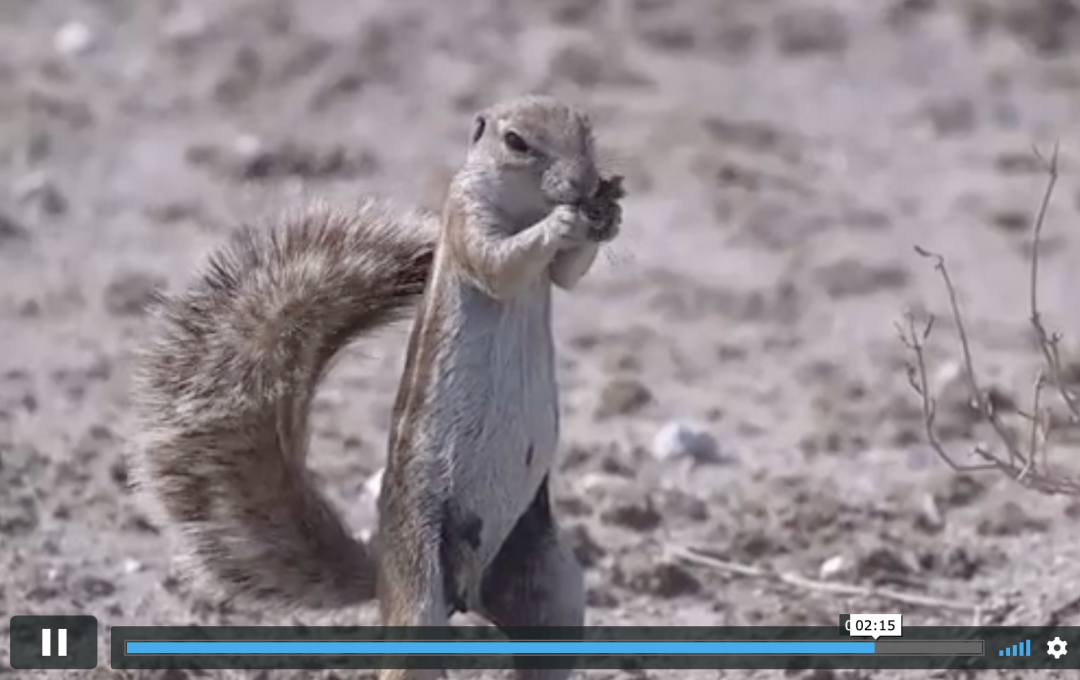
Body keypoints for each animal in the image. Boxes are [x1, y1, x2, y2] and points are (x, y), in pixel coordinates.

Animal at [129, 96, 622, 680]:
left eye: (587, 129)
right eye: (516, 142)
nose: (586, 182)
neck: (525, 205)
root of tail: (388, 573)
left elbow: (567, 275)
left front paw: (608, 214)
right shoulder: (465, 224)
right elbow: (500, 264)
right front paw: (564, 221)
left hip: (550, 582)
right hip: (422, 579)